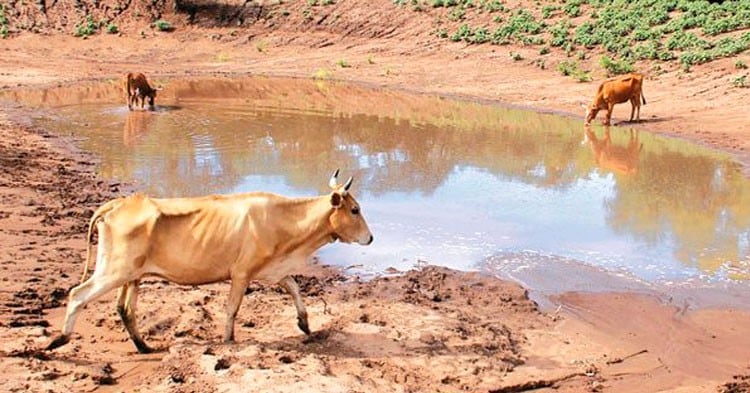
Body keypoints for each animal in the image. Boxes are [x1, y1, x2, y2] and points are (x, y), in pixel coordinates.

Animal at [46, 170, 374, 354]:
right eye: (355, 210)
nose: (370, 238)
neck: (284, 222)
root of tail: (120, 203)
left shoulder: (272, 269)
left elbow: (294, 287)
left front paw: (304, 323)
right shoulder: (241, 273)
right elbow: (232, 308)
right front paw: (228, 340)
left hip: (132, 275)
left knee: (125, 309)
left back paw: (143, 346)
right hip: (113, 271)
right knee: (78, 294)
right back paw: (59, 340)